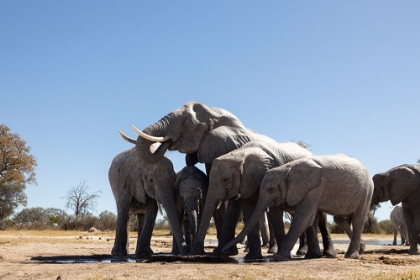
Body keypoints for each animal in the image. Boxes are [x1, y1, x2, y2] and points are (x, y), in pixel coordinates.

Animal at [192, 141, 336, 260]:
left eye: (225, 180)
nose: (197, 252)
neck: (242, 153)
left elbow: (274, 212)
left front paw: (280, 256)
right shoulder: (247, 182)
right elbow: (249, 209)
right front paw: (252, 257)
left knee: (320, 218)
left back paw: (325, 254)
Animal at [221, 153, 372, 260]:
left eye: (270, 189)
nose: (222, 251)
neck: (287, 169)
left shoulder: (314, 188)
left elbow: (303, 217)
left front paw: (278, 257)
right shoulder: (310, 190)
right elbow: (311, 219)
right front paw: (312, 256)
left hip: (366, 191)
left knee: (358, 220)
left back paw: (351, 256)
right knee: (341, 219)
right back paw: (360, 249)